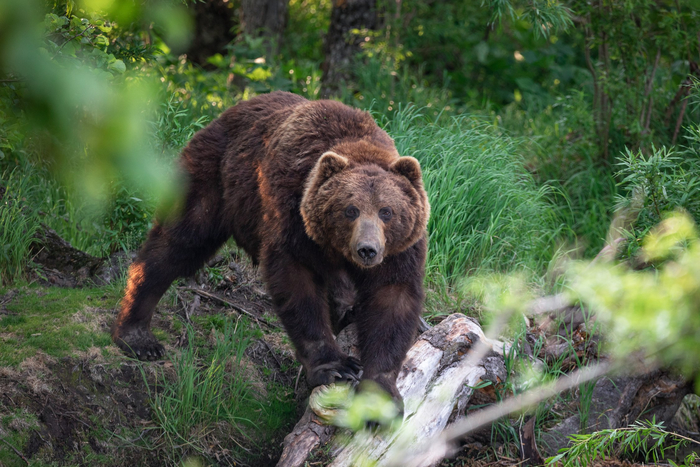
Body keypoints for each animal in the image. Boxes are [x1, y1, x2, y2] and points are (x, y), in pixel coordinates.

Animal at [112, 90, 430, 402]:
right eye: (350, 210)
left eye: (387, 211)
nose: (367, 249)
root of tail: (229, 111)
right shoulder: (293, 215)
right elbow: (297, 282)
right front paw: (336, 366)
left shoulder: (400, 252)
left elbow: (392, 301)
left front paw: (380, 388)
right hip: (214, 177)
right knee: (178, 243)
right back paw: (138, 336)